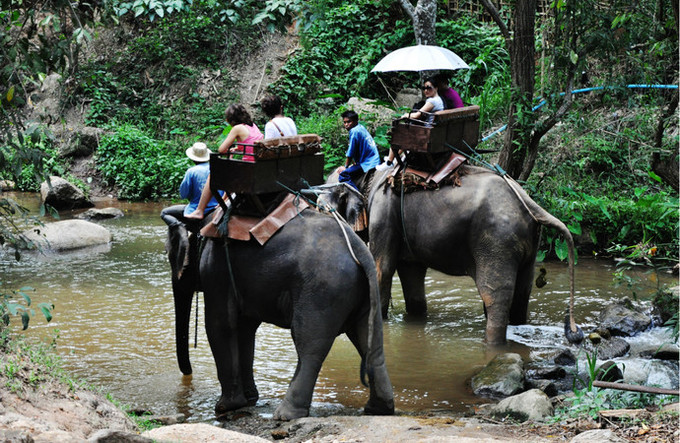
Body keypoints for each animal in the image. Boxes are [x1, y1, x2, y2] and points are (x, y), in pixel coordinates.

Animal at [163, 208, 394, 420]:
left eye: (169, 254)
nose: (188, 373)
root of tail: (358, 248)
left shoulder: (216, 269)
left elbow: (220, 324)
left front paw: (225, 406)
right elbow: (245, 329)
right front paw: (250, 399)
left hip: (323, 290)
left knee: (309, 344)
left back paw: (286, 415)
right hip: (360, 291)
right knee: (369, 342)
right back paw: (378, 410)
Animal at [318, 163, 584, 346]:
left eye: (320, 207)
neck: (368, 178)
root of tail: (529, 203)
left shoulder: (383, 217)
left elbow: (381, 270)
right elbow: (412, 275)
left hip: (497, 241)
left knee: (494, 296)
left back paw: (492, 345)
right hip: (527, 246)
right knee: (522, 293)